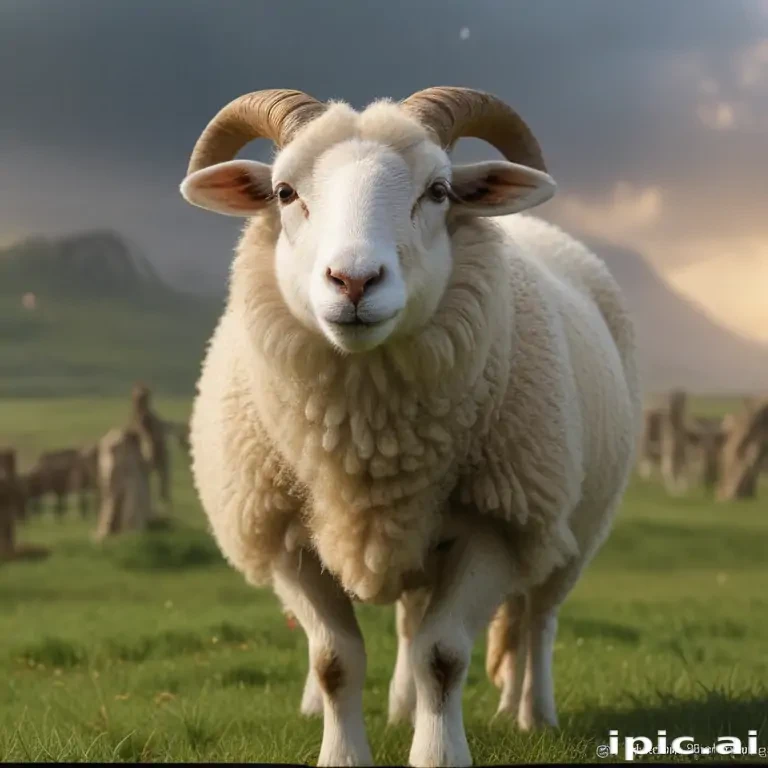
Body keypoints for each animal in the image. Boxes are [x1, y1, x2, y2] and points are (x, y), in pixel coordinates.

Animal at [179, 87, 641, 767]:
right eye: (285, 192)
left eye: (439, 191)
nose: (353, 281)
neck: (368, 444)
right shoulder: (284, 536)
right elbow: (335, 660)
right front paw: (344, 752)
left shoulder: (495, 526)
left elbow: (442, 655)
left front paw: (438, 754)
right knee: (416, 618)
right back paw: (403, 708)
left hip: (569, 527)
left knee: (536, 619)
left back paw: (532, 714)